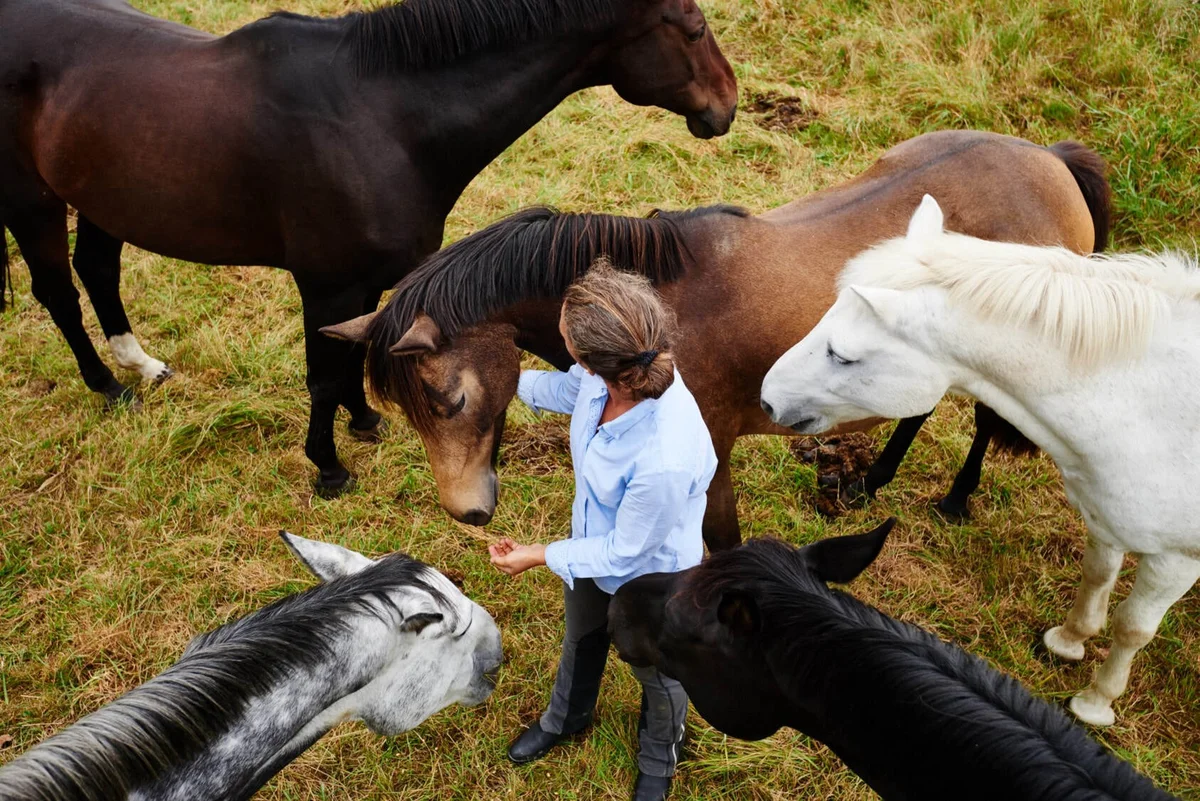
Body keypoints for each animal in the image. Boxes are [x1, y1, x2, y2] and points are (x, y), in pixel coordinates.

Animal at [0, 0, 734, 494]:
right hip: (33, 203)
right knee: (58, 291)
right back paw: (104, 385)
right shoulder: (324, 281)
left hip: (103, 195)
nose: (728, 104)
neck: (384, 116)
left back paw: (140, 365)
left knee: (98, 270)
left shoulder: (364, 279)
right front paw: (328, 467)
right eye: (693, 28)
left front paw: (363, 421)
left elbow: (355, 348)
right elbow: (325, 371)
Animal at [324, 131, 1108, 546]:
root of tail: (1053, 161)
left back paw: (954, 499)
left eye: (450, 401)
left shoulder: (710, 460)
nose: (468, 513)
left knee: (983, 423)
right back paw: (872, 480)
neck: (656, 307)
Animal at [758, 194, 1200, 724]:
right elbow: (1095, 577)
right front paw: (1068, 641)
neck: (1146, 402)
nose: (768, 400)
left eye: (842, 356)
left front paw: (1096, 702)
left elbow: (1132, 627)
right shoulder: (1106, 517)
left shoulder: (1175, 560)